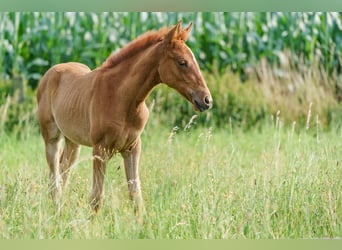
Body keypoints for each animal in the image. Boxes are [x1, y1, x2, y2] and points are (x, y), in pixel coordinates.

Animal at [36, 20, 211, 214]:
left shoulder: (132, 148)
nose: (206, 100)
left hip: (73, 141)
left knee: (64, 170)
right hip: (52, 138)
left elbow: (136, 196)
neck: (122, 97)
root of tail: (51, 72)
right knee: (54, 176)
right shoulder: (100, 149)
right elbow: (97, 198)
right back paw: (57, 211)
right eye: (182, 62)